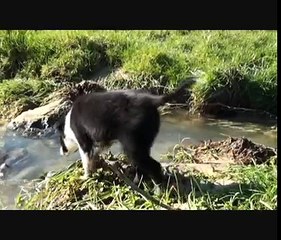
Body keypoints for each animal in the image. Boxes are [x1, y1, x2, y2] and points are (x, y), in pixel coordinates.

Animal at [54, 78, 195, 183]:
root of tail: (151, 100)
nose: (60, 152)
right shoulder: (104, 139)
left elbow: (86, 160)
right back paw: (139, 182)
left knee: (153, 165)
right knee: (144, 165)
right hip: (143, 140)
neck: (68, 125)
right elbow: (97, 151)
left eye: (60, 140)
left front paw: (86, 176)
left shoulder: (83, 141)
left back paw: (157, 189)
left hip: (132, 145)